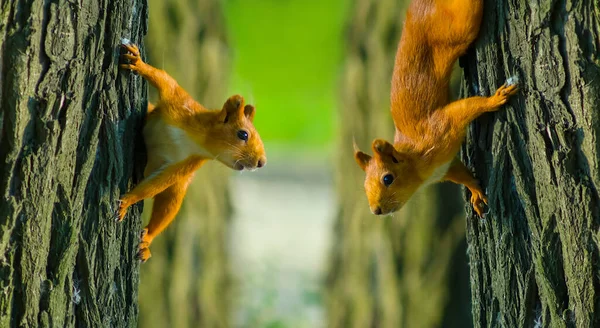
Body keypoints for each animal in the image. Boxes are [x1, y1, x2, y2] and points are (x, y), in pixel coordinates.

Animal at [118, 41, 266, 262]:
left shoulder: (187, 164)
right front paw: (139, 64)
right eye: (243, 134)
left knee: (168, 205)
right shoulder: (179, 104)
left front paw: (129, 200)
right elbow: (165, 80)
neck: (196, 141)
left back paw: (147, 239)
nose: (261, 162)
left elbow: (158, 184)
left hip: (178, 190)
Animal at [354, 0, 516, 217]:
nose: (376, 210)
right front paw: (475, 191)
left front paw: (494, 100)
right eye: (364, 187)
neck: (418, 166)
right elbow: (461, 174)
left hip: (458, 27)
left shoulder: (441, 127)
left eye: (388, 178)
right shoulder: (445, 167)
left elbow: (465, 108)